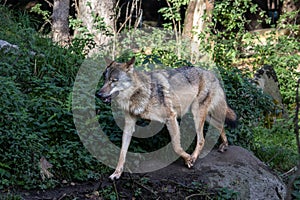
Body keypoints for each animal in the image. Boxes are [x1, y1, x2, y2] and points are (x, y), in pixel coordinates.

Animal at [96, 56, 237, 180]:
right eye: (105, 79)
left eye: (114, 80)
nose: (98, 94)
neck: (142, 93)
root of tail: (212, 74)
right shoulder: (129, 125)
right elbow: (122, 152)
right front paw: (117, 173)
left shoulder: (171, 118)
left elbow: (176, 147)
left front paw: (188, 159)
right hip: (203, 116)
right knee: (220, 124)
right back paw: (224, 145)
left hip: (197, 115)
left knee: (202, 139)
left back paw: (194, 157)